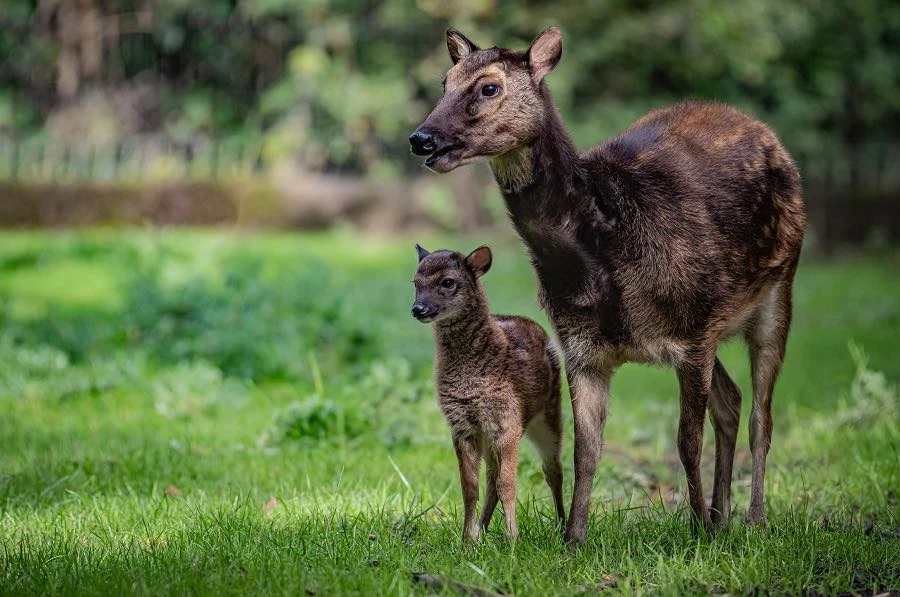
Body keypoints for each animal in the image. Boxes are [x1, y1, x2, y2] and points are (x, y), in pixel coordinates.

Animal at [410, 26, 808, 544]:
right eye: (445, 82)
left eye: (489, 87)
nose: (421, 138)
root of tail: (766, 133)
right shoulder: (580, 346)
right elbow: (586, 448)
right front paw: (573, 538)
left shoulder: (695, 332)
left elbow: (686, 440)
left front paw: (697, 531)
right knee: (732, 400)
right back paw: (723, 515)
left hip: (779, 284)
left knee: (763, 414)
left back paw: (751, 520)